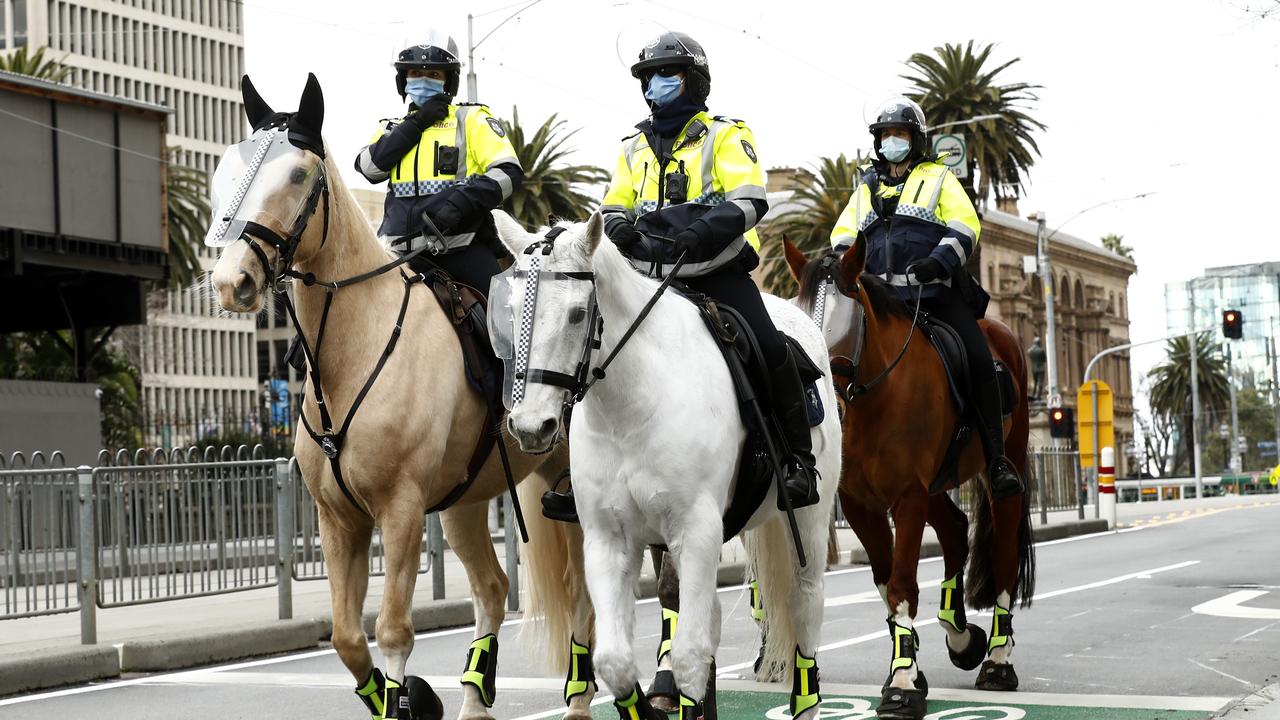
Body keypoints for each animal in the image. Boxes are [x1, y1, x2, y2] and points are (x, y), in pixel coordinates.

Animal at [207, 74, 586, 717]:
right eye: (227, 170)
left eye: (298, 176)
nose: (232, 282)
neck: (356, 347)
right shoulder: (338, 520)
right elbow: (348, 638)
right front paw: (399, 695)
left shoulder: (402, 510)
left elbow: (392, 632)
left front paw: (405, 692)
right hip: (464, 502)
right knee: (493, 589)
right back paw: (473, 699)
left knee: (586, 597)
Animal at [486, 210, 839, 712]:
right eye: (512, 311)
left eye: (577, 313)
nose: (531, 426)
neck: (631, 406)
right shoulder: (610, 539)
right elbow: (615, 662)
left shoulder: (697, 531)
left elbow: (690, 657)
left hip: (808, 522)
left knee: (805, 606)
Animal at [778, 237, 1039, 717]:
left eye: (849, 327)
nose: (827, 410)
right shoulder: (863, 505)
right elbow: (886, 585)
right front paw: (910, 669)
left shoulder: (908, 496)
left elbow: (902, 586)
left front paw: (901, 685)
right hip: (935, 484)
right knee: (956, 530)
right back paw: (961, 638)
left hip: (1001, 474)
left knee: (1004, 559)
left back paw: (997, 660)